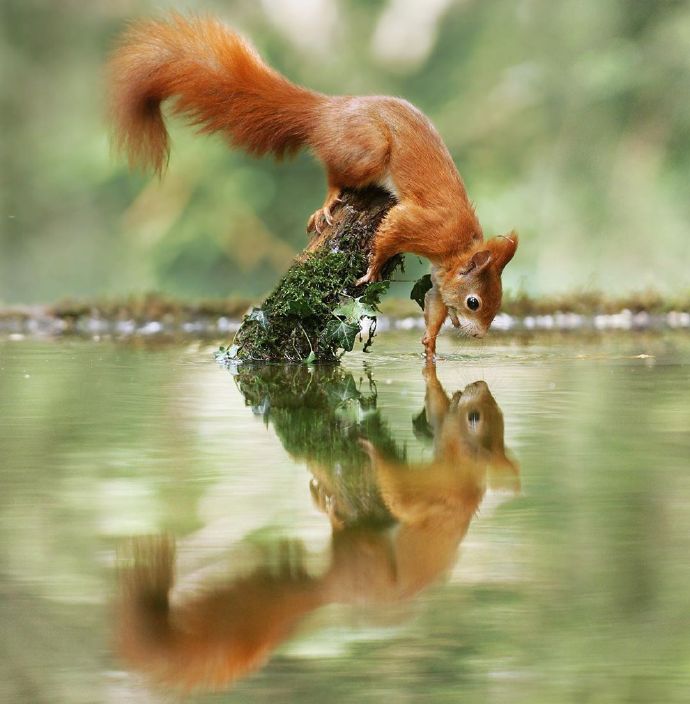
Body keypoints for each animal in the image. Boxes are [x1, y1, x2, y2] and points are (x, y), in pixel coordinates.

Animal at [107, 15, 516, 358]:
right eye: (475, 303)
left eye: (497, 304)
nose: (479, 336)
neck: (459, 246)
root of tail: (326, 111)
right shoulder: (423, 225)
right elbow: (392, 233)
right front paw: (372, 269)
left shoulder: (437, 278)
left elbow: (434, 305)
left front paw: (430, 345)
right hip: (367, 151)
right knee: (336, 173)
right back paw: (328, 201)